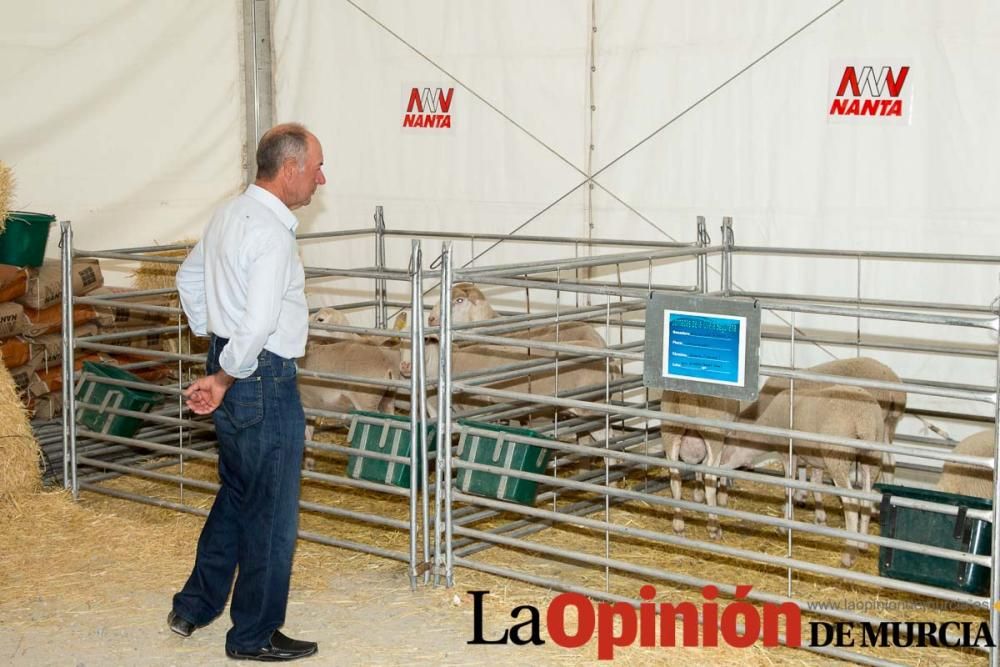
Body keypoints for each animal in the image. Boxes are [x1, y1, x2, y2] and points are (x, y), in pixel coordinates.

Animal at [720, 386, 884, 568]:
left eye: (727, 452)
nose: (719, 469)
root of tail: (864, 417)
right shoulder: (815, 460)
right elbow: (815, 485)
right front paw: (820, 519)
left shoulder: (788, 453)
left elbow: (789, 488)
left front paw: (785, 526)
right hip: (872, 456)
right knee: (866, 499)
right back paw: (862, 544)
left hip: (837, 455)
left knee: (852, 502)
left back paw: (849, 554)